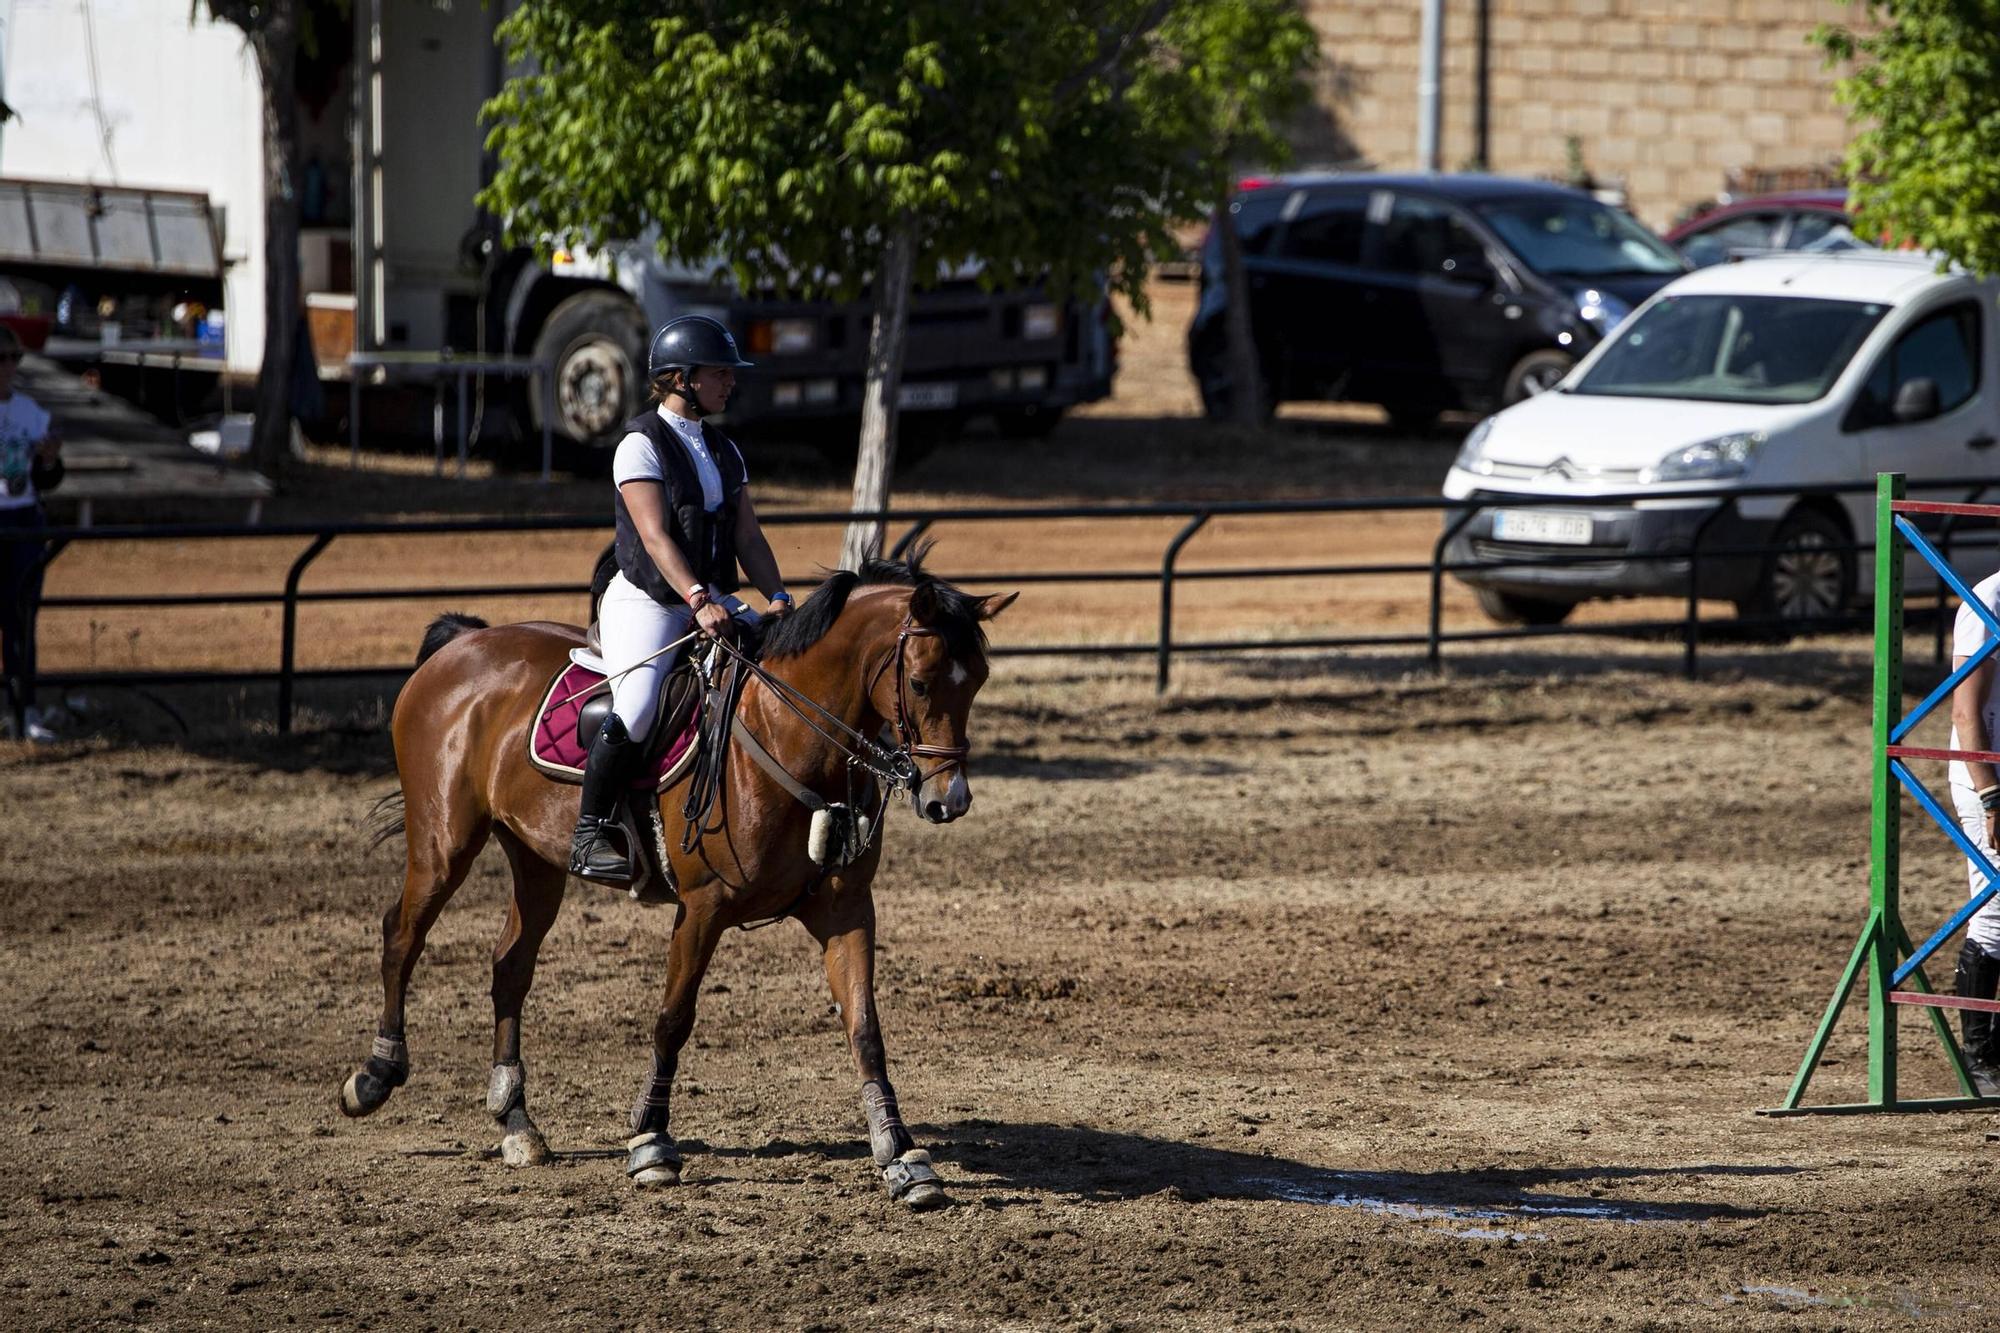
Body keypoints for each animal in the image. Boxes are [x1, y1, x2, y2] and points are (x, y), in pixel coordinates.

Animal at [336, 548, 1016, 1200]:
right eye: (921, 683)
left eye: (978, 682)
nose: (948, 800)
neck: (789, 735)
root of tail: (462, 644)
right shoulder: (702, 907)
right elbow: (673, 1019)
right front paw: (651, 1143)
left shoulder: (846, 908)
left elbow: (864, 1026)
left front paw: (903, 1156)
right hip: (443, 841)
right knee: (403, 935)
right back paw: (375, 1076)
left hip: (535, 858)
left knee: (510, 966)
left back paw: (517, 1123)